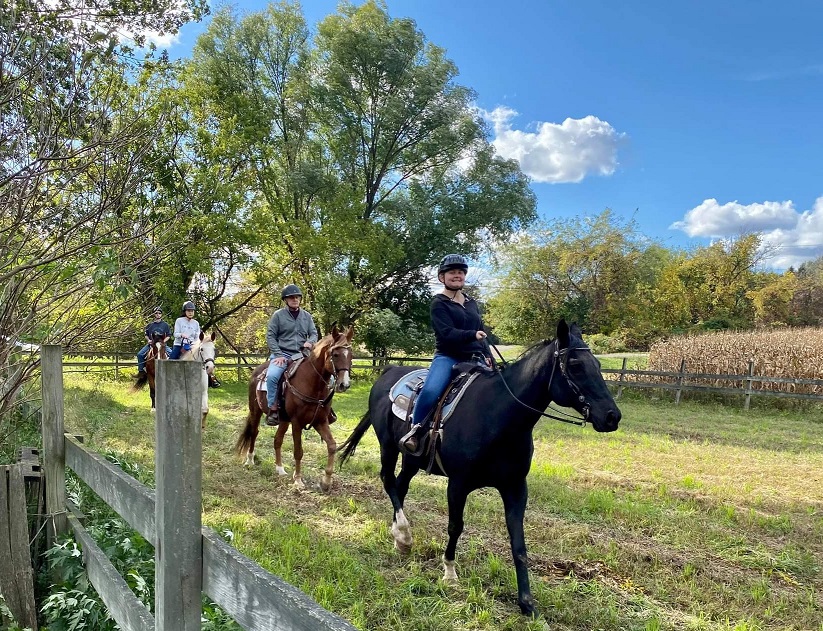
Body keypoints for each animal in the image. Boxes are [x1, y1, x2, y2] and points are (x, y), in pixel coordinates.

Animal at [237, 326, 356, 494]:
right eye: (336, 354)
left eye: (351, 355)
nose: (344, 384)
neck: (313, 385)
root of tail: (257, 372)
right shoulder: (297, 423)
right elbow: (298, 451)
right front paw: (298, 480)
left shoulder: (320, 421)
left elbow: (332, 446)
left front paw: (326, 482)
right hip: (256, 411)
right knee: (254, 433)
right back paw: (249, 461)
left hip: (283, 420)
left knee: (277, 440)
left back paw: (280, 469)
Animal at [338, 320, 620, 616]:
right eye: (575, 365)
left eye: (598, 364)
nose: (612, 416)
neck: (498, 416)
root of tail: (388, 373)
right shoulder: (458, 484)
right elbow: (455, 526)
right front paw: (449, 573)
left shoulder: (515, 488)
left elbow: (518, 543)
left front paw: (526, 601)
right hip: (388, 447)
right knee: (388, 480)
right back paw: (404, 535)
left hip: (411, 459)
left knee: (400, 486)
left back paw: (399, 539)